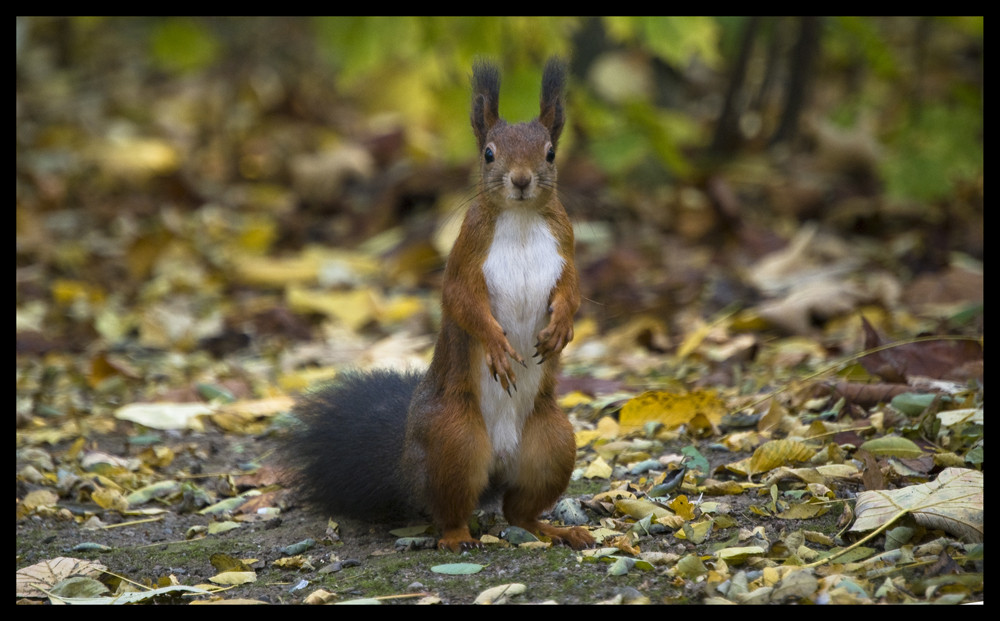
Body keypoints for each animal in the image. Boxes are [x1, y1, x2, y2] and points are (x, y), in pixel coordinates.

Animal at [282, 59, 592, 552]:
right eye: (489, 154)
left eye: (549, 154)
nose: (521, 181)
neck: (522, 219)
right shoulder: (463, 260)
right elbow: (463, 305)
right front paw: (497, 348)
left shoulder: (566, 251)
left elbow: (573, 293)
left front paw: (561, 326)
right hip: (454, 442)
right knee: (449, 509)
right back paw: (457, 538)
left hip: (552, 445)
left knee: (519, 511)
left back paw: (556, 529)